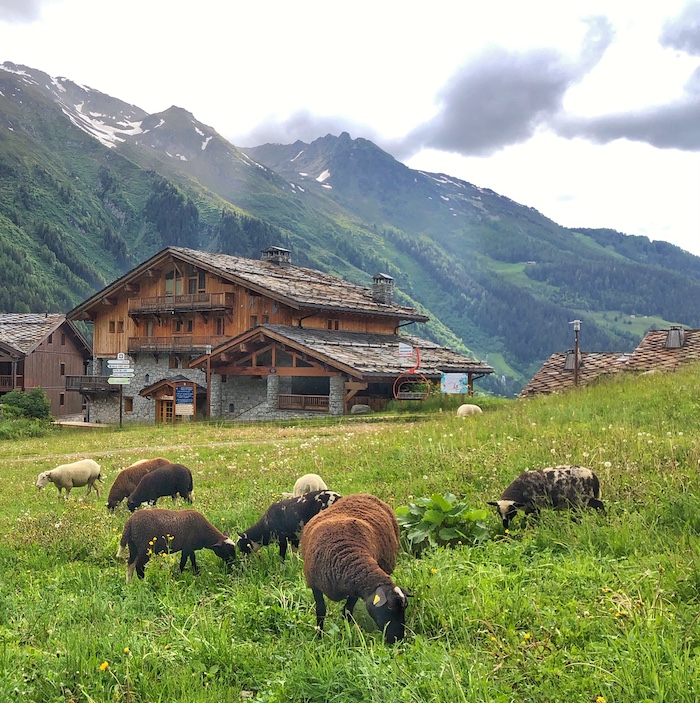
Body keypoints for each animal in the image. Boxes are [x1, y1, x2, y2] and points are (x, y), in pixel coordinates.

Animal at [300, 496, 410, 644]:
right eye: (389, 608)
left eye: (405, 608)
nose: (398, 639)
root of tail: (364, 495)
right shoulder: (315, 584)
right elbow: (321, 611)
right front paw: (319, 637)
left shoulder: (354, 588)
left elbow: (347, 610)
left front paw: (348, 632)